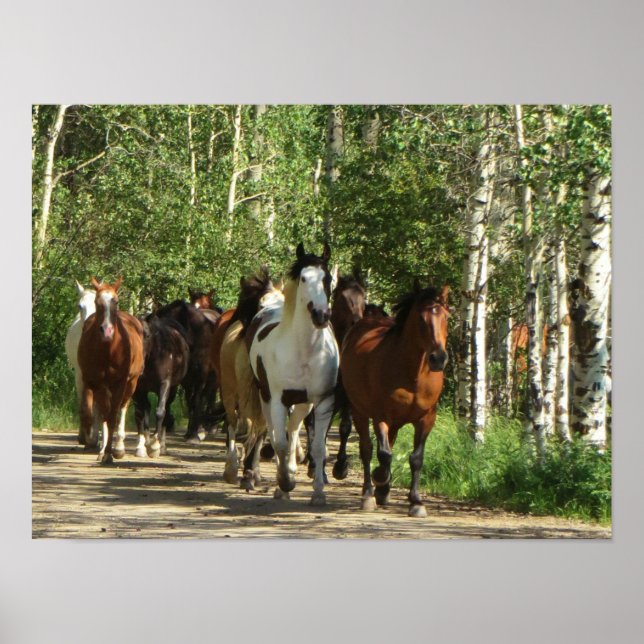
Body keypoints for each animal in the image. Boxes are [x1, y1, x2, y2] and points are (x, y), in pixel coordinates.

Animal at [77, 277, 145, 464]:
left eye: (116, 301)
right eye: (97, 302)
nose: (107, 331)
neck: (108, 350)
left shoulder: (120, 383)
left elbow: (113, 415)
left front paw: (110, 453)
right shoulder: (94, 381)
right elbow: (97, 414)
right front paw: (99, 447)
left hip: (131, 383)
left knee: (121, 408)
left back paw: (118, 447)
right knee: (103, 413)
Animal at [131, 316, 189, 457]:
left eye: (147, 335)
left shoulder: (164, 384)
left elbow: (160, 412)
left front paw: (155, 446)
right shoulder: (138, 388)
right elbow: (139, 414)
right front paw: (141, 447)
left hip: (172, 389)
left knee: (166, 411)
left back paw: (161, 445)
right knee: (146, 408)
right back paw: (147, 441)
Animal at [216, 268, 284, 488]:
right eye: (261, 305)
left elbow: (260, 430)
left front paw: (252, 472)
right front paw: (245, 472)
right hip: (230, 392)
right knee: (233, 422)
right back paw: (232, 469)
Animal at [248, 242, 339, 505]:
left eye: (327, 278)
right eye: (304, 278)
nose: (321, 316)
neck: (304, 351)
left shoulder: (323, 401)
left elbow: (318, 447)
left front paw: (318, 493)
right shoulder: (278, 399)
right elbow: (279, 442)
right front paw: (285, 483)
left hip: (303, 403)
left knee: (294, 429)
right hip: (266, 398)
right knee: (274, 432)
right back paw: (282, 485)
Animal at [341, 281, 449, 517]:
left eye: (446, 316)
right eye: (420, 318)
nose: (438, 358)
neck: (413, 375)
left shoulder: (427, 418)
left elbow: (416, 458)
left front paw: (416, 502)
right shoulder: (381, 416)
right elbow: (383, 454)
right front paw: (379, 478)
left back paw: (384, 492)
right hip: (359, 411)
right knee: (367, 449)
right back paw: (369, 493)